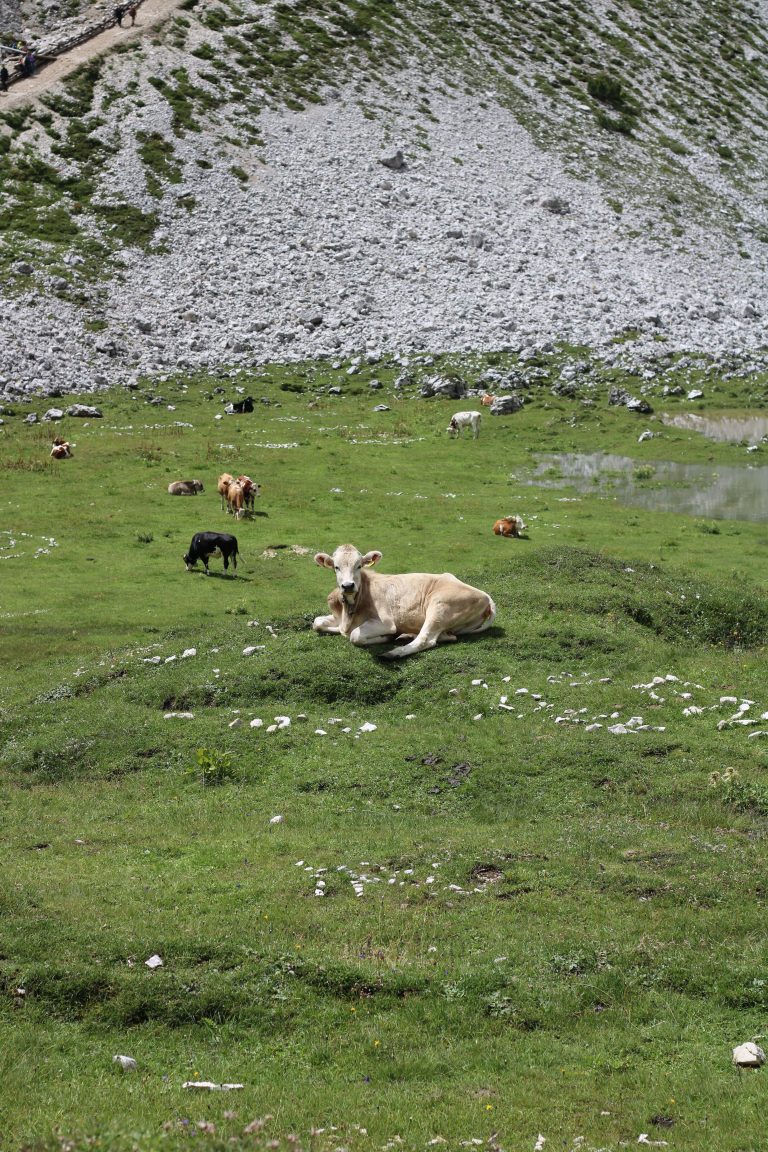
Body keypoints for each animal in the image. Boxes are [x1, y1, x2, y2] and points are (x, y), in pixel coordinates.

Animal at [313, 546, 499, 663]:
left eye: (359, 566)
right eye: (336, 567)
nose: (348, 586)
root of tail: (485, 595)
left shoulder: (386, 623)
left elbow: (355, 635)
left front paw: (385, 638)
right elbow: (317, 623)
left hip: (439, 606)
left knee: (425, 640)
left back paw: (392, 653)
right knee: (446, 636)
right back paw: (408, 635)